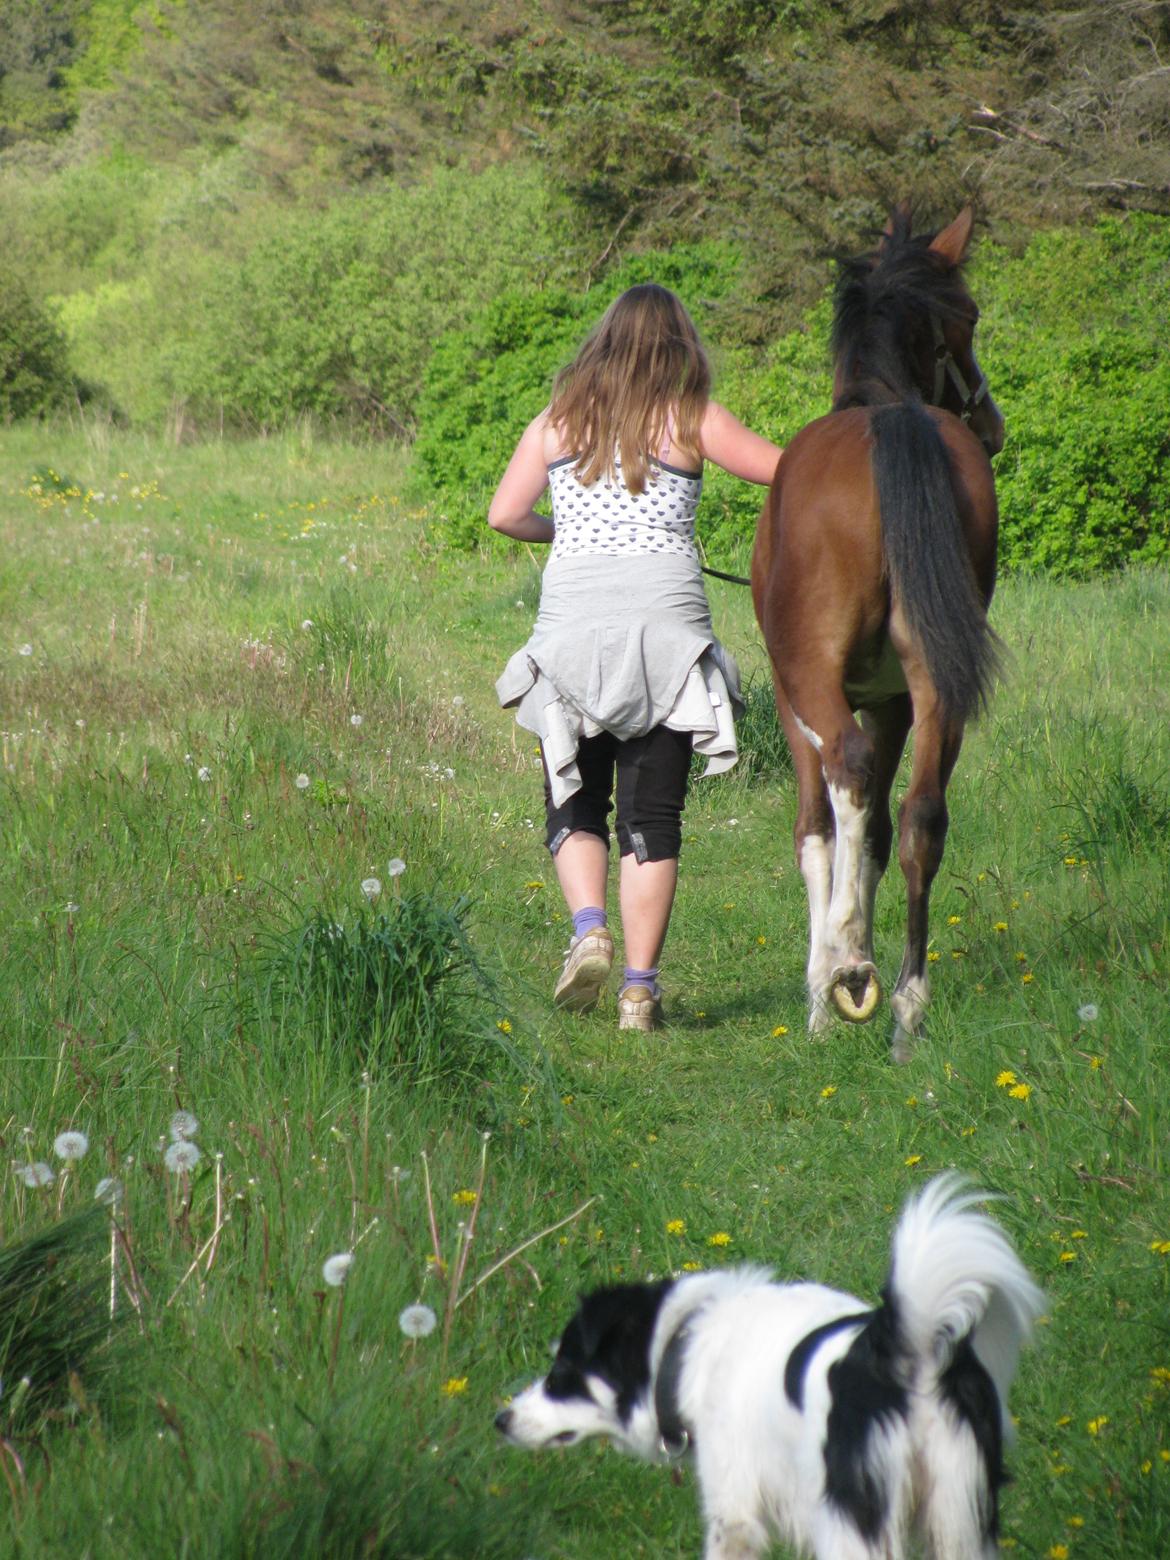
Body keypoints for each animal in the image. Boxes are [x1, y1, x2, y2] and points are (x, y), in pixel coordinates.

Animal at [496, 1173, 1042, 1560]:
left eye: (561, 1373)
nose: (500, 1419)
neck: (686, 1345)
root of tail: (909, 1350)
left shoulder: (734, 1508)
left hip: (853, 1524)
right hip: (960, 1519)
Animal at [755, 207, 1010, 1060]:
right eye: (969, 317)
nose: (992, 424)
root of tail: (889, 419)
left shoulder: (794, 699)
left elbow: (819, 833)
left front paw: (822, 994)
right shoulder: (894, 702)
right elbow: (869, 839)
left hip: (813, 682)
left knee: (852, 772)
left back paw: (849, 968)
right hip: (936, 685)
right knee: (923, 817)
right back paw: (905, 1008)